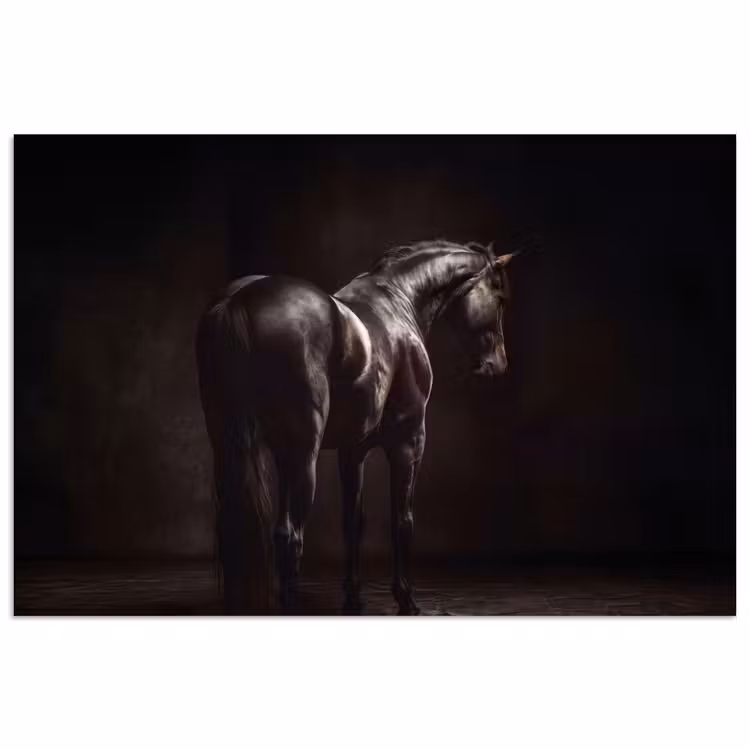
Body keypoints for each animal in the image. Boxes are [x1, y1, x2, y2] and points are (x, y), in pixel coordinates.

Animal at [196, 240, 517, 614]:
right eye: (500, 296)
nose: (498, 364)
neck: (398, 298)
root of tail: (240, 299)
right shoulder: (409, 441)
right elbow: (402, 519)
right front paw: (405, 597)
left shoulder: (353, 449)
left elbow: (353, 521)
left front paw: (353, 595)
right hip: (302, 455)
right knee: (291, 537)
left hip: (245, 448)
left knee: (250, 530)